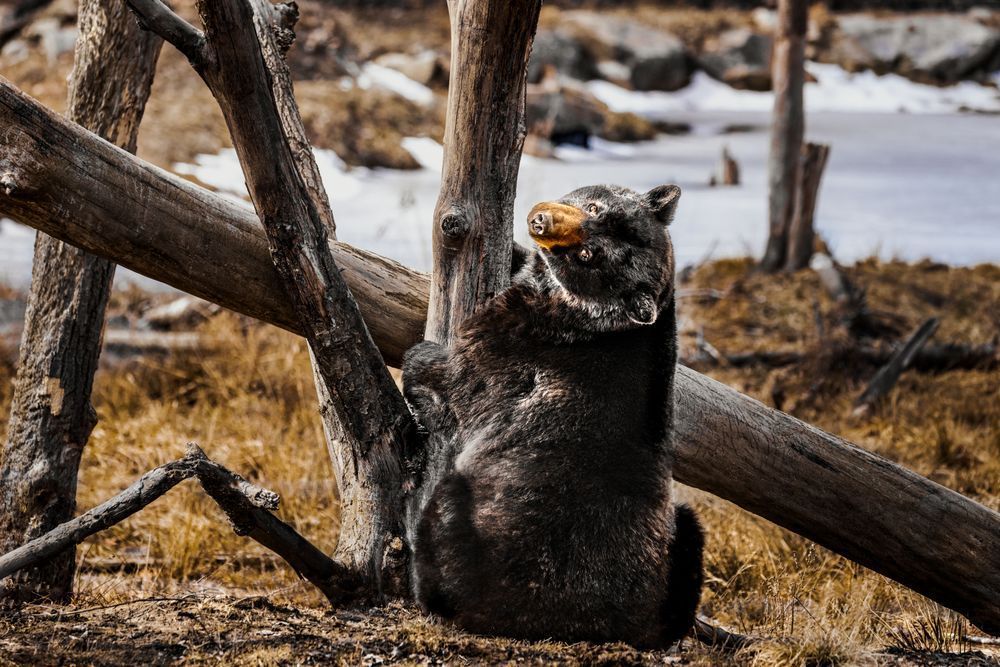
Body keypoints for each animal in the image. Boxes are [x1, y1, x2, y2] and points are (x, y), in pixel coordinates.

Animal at [401, 183, 703, 649]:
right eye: (595, 206)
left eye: (589, 256)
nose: (543, 221)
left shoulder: (481, 360)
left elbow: (438, 377)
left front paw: (418, 363)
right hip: (687, 530)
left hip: (456, 508)